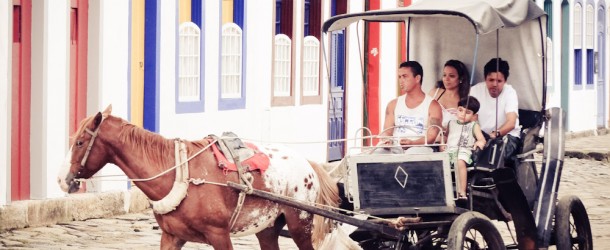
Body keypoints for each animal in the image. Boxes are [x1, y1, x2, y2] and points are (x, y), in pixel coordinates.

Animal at [57, 105, 340, 250]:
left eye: (80, 142)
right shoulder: (171, 237)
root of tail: (308, 163)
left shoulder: (220, 235)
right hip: (267, 229)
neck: (178, 174)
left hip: (300, 225)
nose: (61, 179)